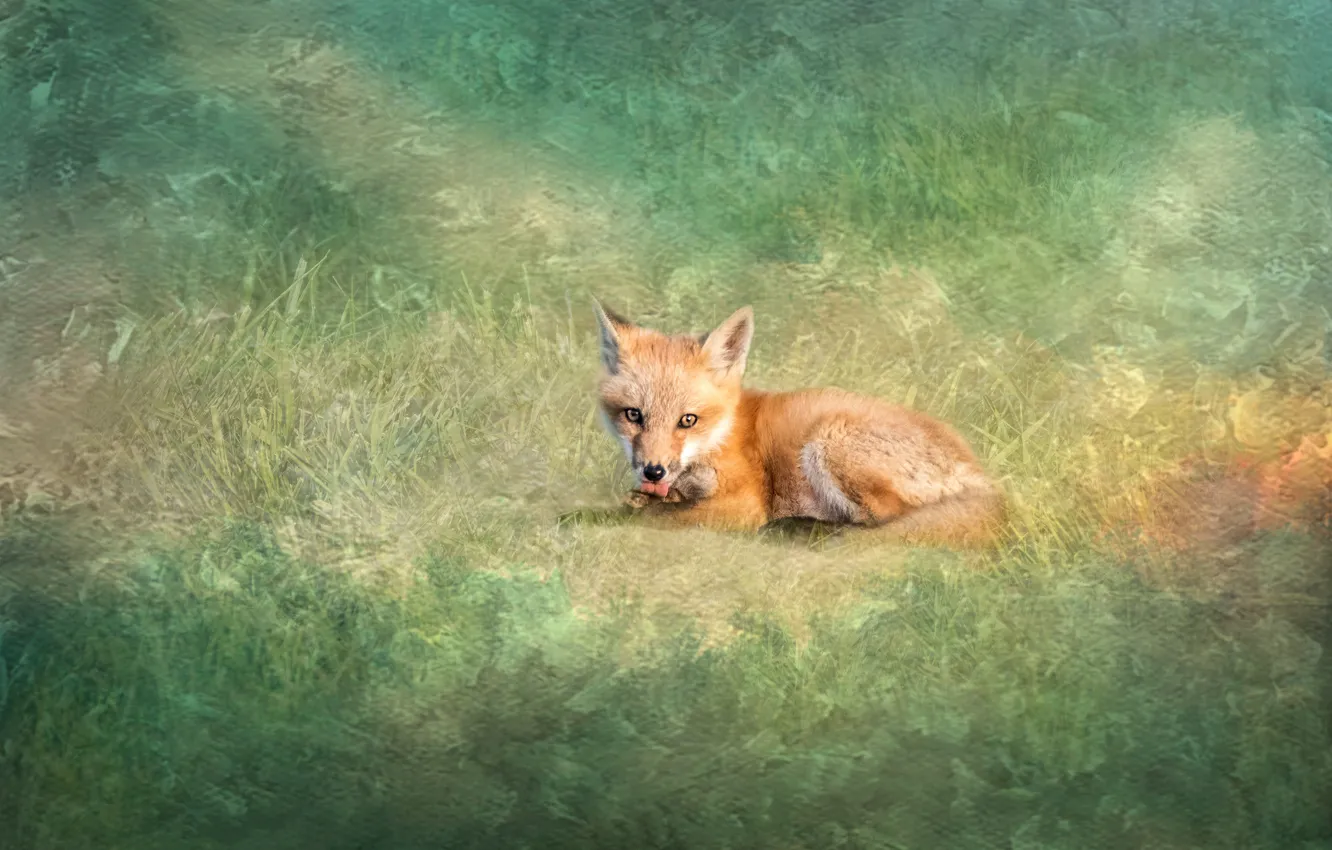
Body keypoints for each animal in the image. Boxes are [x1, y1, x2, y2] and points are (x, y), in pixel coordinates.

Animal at [592, 301, 1008, 548]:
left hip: (829, 442)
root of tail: (981, 475)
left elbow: (653, 517)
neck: (721, 435)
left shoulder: (744, 502)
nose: (654, 471)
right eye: (634, 415)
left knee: (881, 527)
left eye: (687, 420)